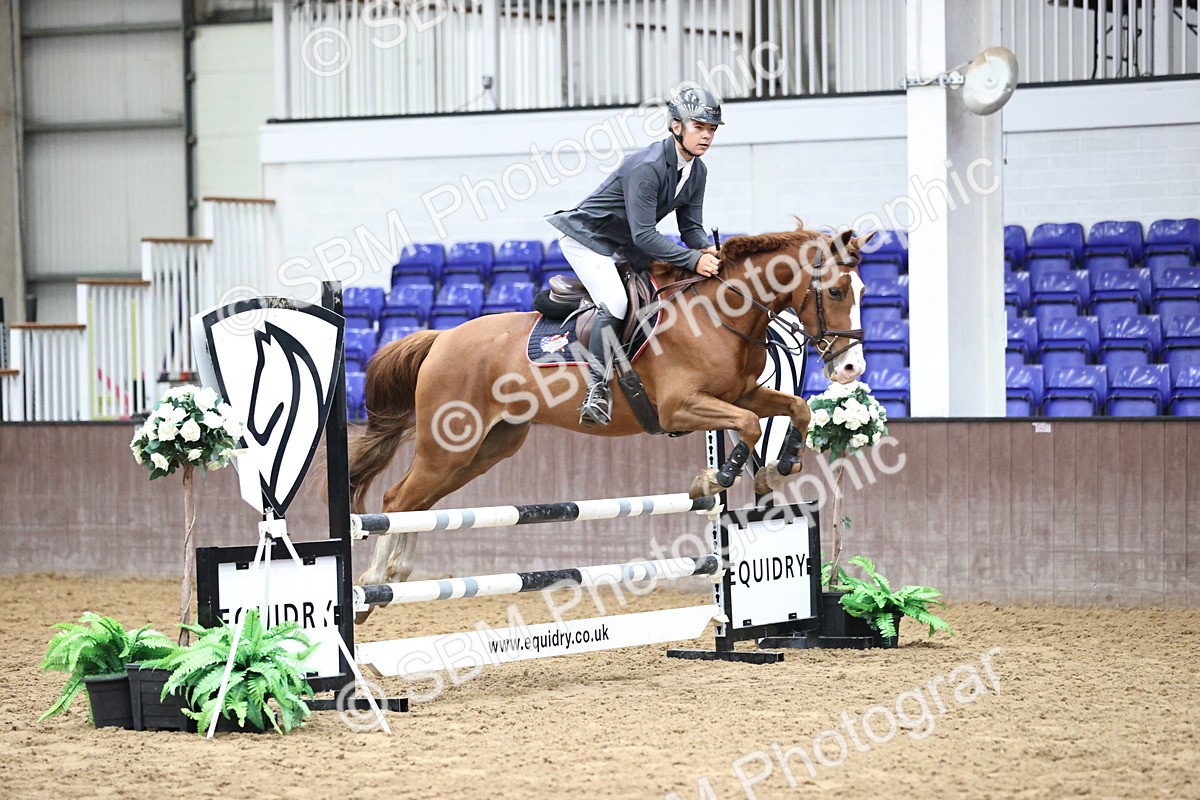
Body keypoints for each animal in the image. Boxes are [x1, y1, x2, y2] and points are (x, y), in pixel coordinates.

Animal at [348, 224, 872, 606]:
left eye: (863, 289)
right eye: (837, 291)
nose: (851, 368)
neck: (720, 314)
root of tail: (441, 337)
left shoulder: (742, 394)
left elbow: (796, 409)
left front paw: (776, 468)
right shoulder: (680, 408)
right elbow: (744, 426)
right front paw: (713, 479)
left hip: (485, 449)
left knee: (421, 502)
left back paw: (397, 572)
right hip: (449, 445)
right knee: (397, 499)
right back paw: (373, 584)